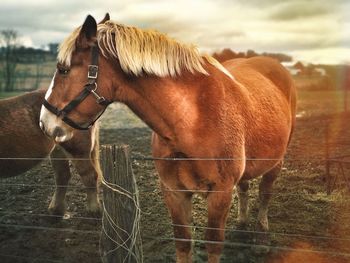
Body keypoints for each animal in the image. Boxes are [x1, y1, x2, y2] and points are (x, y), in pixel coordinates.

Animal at [1, 88, 102, 217]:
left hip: (77, 151)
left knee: (89, 176)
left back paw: (93, 211)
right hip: (57, 150)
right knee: (62, 175)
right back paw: (55, 210)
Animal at [38, 14, 296, 263]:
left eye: (63, 69)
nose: (44, 122)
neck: (193, 121)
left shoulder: (220, 194)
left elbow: (213, 245)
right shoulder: (174, 193)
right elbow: (183, 243)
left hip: (277, 161)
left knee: (265, 193)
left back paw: (261, 234)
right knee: (244, 187)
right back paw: (242, 223)